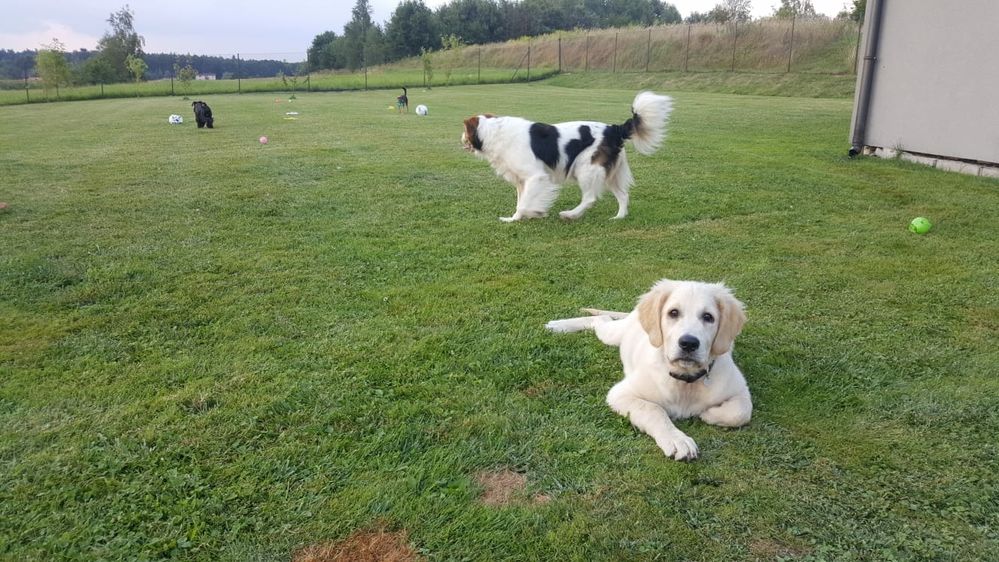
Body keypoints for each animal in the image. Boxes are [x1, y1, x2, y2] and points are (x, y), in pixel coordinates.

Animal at [460, 91, 672, 220]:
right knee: (623, 195)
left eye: (464, 130)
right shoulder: (522, 181)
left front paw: (529, 213)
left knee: (590, 199)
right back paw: (619, 217)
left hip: (586, 168)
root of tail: (614, 129)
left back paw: (571, 214)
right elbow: (522, 200)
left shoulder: (536, 176)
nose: (460, 139)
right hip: (609, 173)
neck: (493, 131)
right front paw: (520, 217)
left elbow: (524, 202)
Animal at [548, 278, 752, 460]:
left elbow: (741, 412)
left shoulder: (741, 390)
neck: (684, 381)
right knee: (601, 319)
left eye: (708, 317)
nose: (688, 343)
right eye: (673, 313)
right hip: (612, 335)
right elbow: (653, 409)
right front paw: (677, 440)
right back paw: (559, 325)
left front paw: (707, 414)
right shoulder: (620, 394)